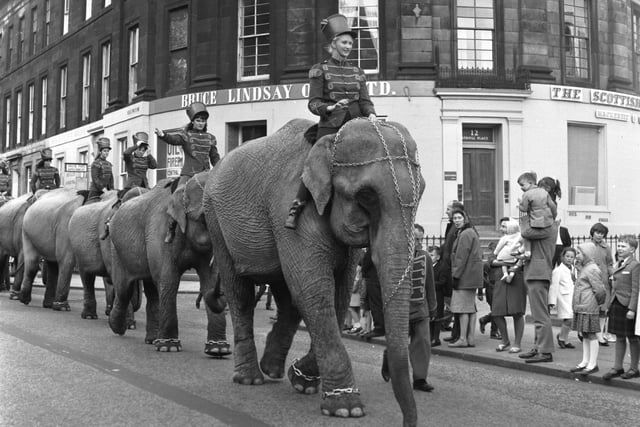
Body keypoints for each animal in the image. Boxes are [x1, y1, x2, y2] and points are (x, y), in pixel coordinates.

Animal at [107, 175, 230, 358]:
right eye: (204, 217)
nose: (221, 294)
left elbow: (208, 278)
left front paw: (218, 350)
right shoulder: (161, 234)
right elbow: (169, 280)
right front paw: (169, 347)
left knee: (151, 292)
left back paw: (152, 340)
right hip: (117, 250)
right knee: (124, 290)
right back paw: (117, 328)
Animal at [204, 118, 424, 427]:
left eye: (422, 191)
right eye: (366, 196)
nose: (407, 422)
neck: (329, 143)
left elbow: (338, 293)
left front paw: (302, 381)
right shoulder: (289, 210)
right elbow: (315, 290)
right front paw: (346, 409)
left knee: (287, 296)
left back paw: (272, 369)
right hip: (216, 221)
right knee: (241, 294)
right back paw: (250, 378)